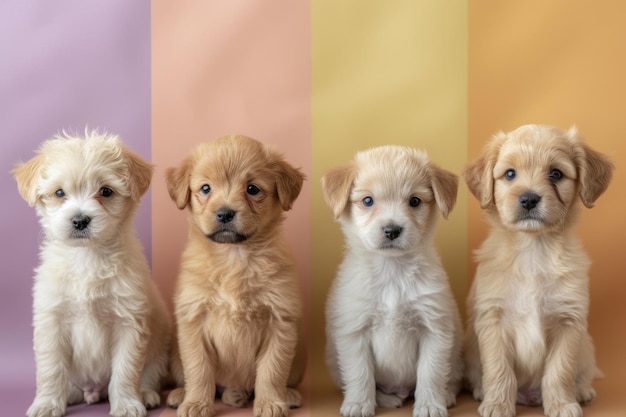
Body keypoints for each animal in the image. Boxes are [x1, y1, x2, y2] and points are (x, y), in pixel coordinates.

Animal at [12, 132, 172, 416]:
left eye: (106, 191)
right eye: (59, 193)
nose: (80, 220)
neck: (87, 257)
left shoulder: (129, 321)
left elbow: (125, 370)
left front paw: (127, 404)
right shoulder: (51, 321)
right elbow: (51, 369)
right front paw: (46, 403)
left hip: (159, 350)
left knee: (149, 374)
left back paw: (145, 394)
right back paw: (71, 394)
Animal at [163, 134, 304, 416]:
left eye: (252, 189)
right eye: (205, 189)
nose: (225, 213)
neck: (234, 256)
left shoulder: (280, 321)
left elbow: (272, 371)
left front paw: (270, 403)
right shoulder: (193, 321)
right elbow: (198, 370)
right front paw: (196, 403)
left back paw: (284, 394)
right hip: (175, 352)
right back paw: (183, 394)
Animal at [322, 145, 464, 416]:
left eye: (415, 201)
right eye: (368, 201)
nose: (391, 230)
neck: (392, 272)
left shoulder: (435, 330)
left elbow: (430, 373)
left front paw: (429, 405)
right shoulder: (354, 331)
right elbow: (360, 374)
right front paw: (359, 404)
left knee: (448, 379)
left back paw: (446, 395)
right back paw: (386, 398)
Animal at [460, 124, 612, 416]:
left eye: (556, 173)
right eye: (510, 174)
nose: (529, 199)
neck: (533, 249)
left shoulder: (568, 320)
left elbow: (560, 371)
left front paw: (562, 405)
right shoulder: (493, 319)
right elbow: (499, 369)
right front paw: (497, 404)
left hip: (586, 347)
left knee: (583, 372)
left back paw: (582, 391)